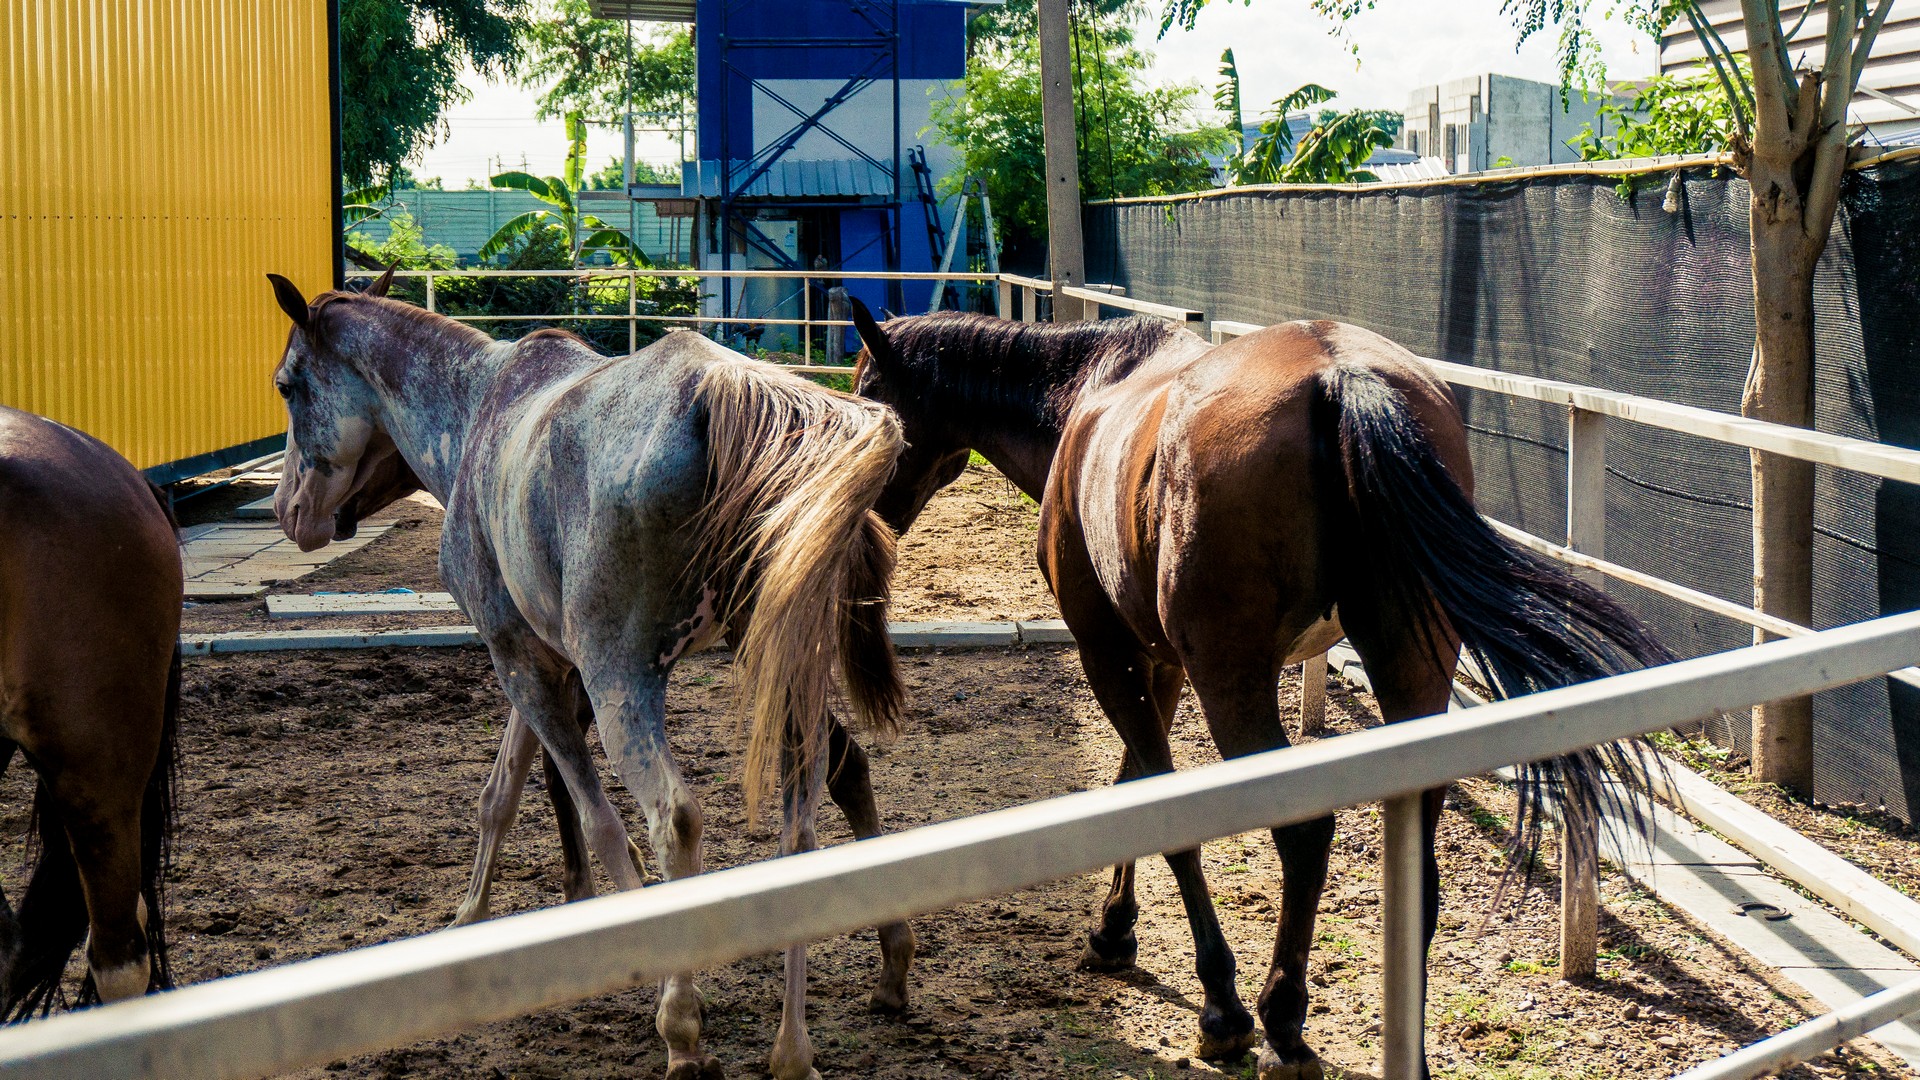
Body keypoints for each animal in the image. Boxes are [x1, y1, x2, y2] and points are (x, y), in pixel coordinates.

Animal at [264, 270, 913, 1076]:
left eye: (288, 384)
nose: (288, 510)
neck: (480, 407)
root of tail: (723, 392)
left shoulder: (522, 661)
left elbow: (597, 821)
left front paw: (665, 999)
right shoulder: (538, 660)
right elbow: (504, 791)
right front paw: (471, 913)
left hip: (624, 686)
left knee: (676, 819)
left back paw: (685, 1033)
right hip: (779, 674)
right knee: (807, 819)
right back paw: (795, 1047)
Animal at [848, 305, 1674, 1076]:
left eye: (868, 392)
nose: (857, 526)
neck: (1089, 392)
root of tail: (1338, 375)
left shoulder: (1111, 652)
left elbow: (1166, 809)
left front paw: (1218, 1005)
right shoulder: (1160, 664)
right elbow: (1130, 784)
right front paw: (1114, 929)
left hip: (1236, 682)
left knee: (1305, 835)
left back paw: (1278, 1022)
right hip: (1410, 675)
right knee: (1417, 866)